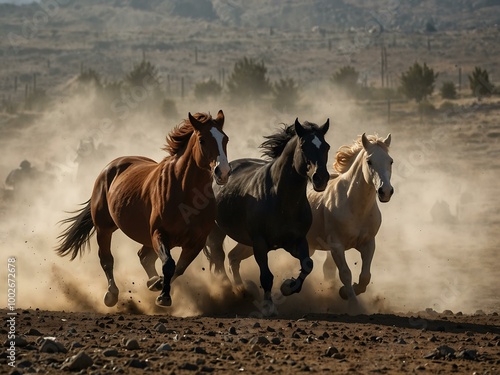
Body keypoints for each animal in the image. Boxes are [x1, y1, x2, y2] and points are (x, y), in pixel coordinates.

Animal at [55, 111, 231, 308]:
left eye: (225, 139)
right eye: (202, 139)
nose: (223, 172)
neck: (187, 195)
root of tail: (110, 167)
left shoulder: (196, 242)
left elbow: (179, 268)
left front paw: (158, 285)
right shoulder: (159, 233)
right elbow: (169, 264)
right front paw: (163, 296)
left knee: (143, 256)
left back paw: (152, 281)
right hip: (104, 227)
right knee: (107, 259)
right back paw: (111, 294)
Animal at [203, 119, 332, 316]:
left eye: (326, 146)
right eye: (303, 146)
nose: (321, 178)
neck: (282, 199)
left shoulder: (296, 241)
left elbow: (308, 264)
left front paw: (288, 286)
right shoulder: (260, 242)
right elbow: (266, 276)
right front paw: (268, 307)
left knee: (232, 258)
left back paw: (243, 291)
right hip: (218, 231)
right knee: (219, 257)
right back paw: (228, 291)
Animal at [225, 134, 392, 310]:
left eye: (390, 161)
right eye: (369, 161)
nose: (385, 191)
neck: (354, 205)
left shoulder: (368, 243)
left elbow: (365, 276)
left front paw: (344, 293)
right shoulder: (336, 246)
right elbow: (345, 273)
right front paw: (353, 305)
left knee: (233, 257)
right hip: (254, 242)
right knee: (233, 257)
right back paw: (242, 292)